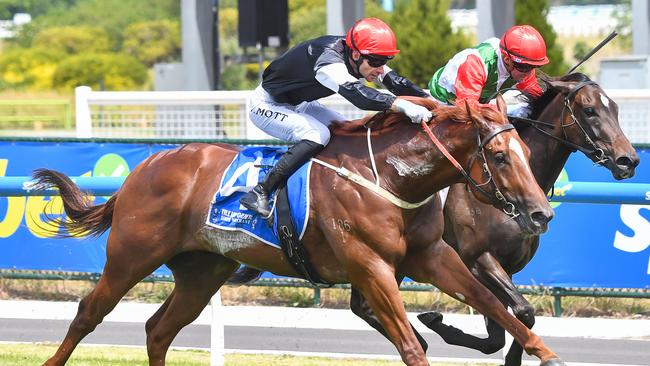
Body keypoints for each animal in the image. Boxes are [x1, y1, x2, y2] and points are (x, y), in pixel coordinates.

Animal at [36, 96, 560, 366]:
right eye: (499, 156)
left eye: (523, 150)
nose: (541, 214)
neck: (391, 175)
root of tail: (143, 168)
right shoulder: (369, 266)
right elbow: (411, 345)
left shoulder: (433, 255)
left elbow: (497, 306)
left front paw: (546, 353)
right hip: (132, 255)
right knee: (88, 313)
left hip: (203, 271)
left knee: (159, 329)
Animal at [346, 73, 636, 364]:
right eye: (589, 110)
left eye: (616, 109)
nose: (629, 160)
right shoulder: (478, 259)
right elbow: (523, 311)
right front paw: (439, 323)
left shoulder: (508, 266)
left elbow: (502, 327)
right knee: (365, 306)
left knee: (361, 306)